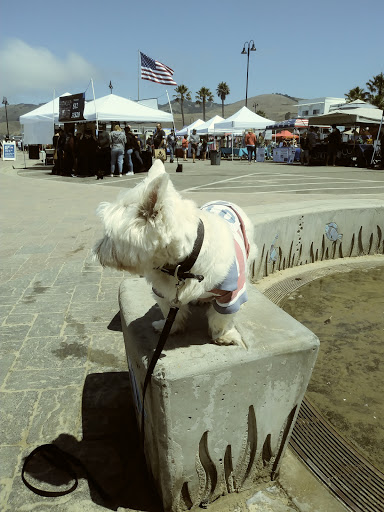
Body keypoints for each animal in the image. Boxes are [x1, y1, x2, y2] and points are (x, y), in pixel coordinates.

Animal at [92, 160, 258, 344]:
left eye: (108, 234)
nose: (96, 251)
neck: (181, 266)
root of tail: (225, 201)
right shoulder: (163, 291)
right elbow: (169, 311)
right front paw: (170, 328)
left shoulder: (230, 294)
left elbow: (220, 317)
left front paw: (223, 336)